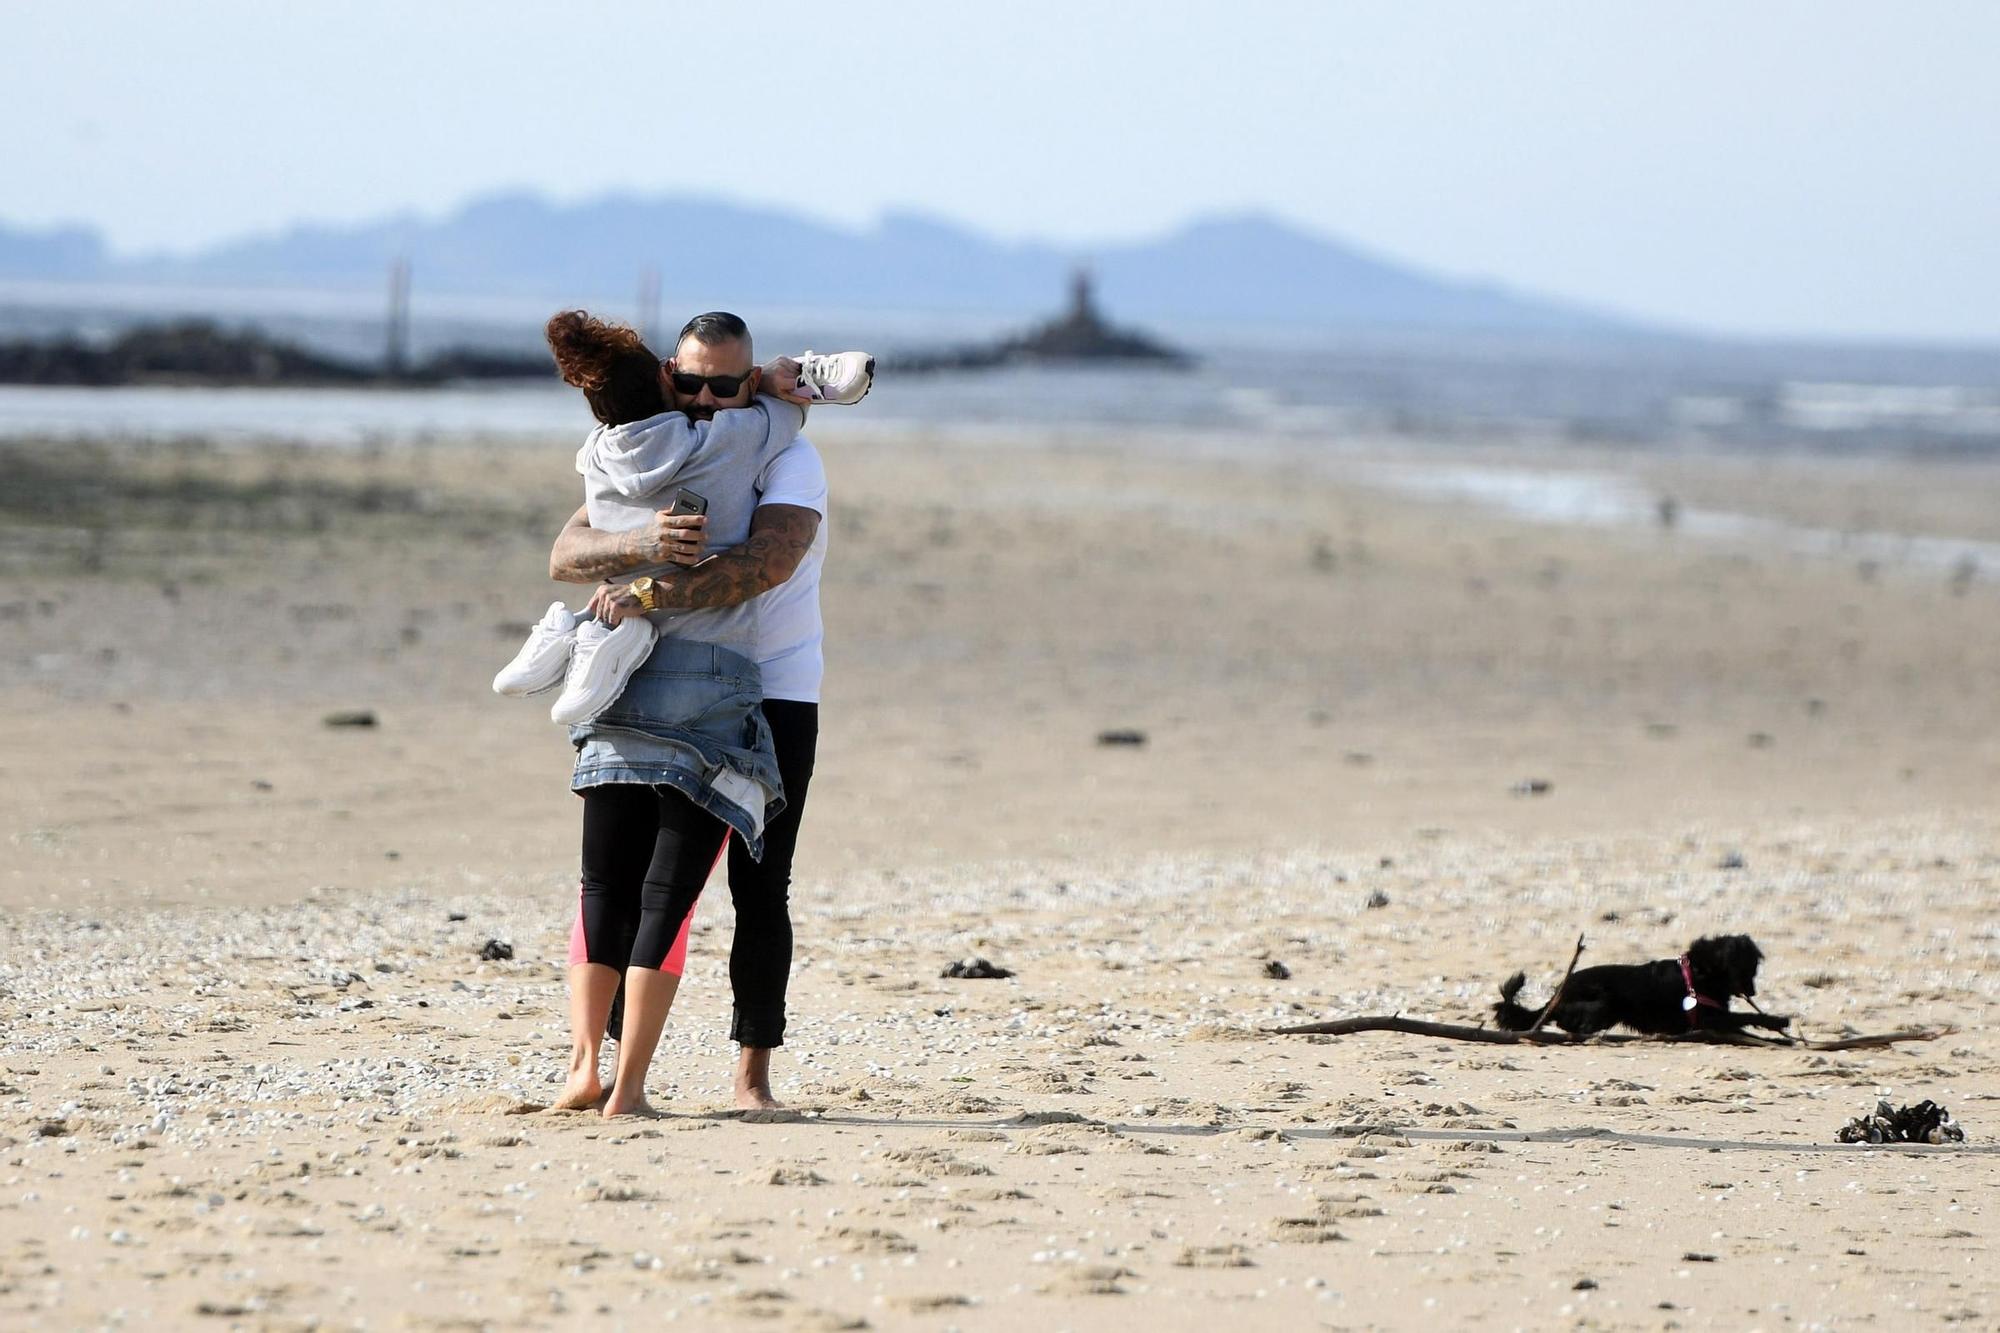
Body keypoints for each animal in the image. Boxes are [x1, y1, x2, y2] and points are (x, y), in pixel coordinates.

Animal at [1496, 928, 1792, 1032]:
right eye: (1749, 969)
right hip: (1605, 1003)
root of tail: (1555, 996)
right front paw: (1778, 1022)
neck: (1700, 972)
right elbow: (1746, 1017)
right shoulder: (1711, 1019)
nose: (1753, 992)